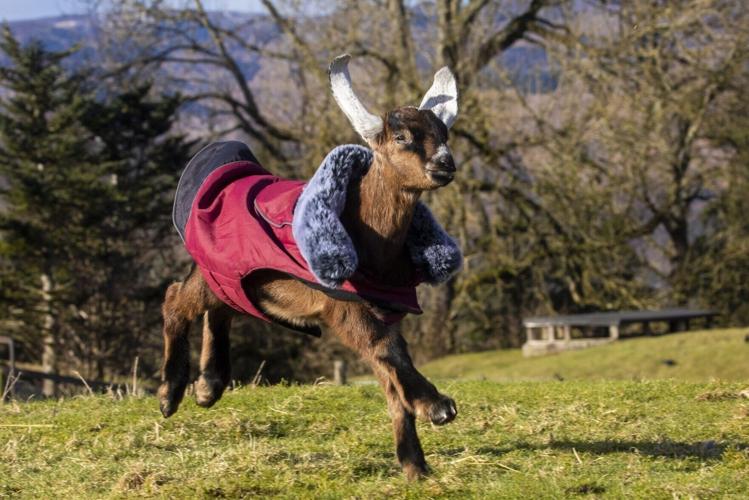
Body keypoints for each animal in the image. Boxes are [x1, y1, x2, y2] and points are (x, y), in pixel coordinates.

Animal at [158, 54, 461, 480]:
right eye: (402, 137)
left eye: (444, 134)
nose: (445, 164)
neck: (361, 233)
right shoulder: (342, 303)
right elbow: (387, 349)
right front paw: (437, 406)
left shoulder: (385, 307)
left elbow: (389, 374)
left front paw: (415, 465)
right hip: (215, 268)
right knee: (175, 299)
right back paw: (170, 395)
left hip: (229, 277)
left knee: (221, 308)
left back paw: (208, 386)